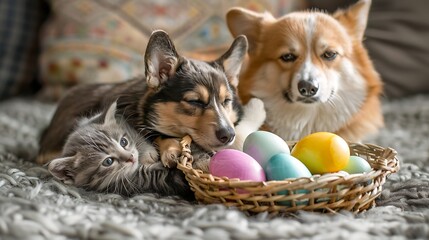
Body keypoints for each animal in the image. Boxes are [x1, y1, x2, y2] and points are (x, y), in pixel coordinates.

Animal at [47, 102, 193, 200]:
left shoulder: (125, 124)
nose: (131, 157)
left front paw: (148, 152)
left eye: (124, 142)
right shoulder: (135, 182)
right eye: (108, 161)